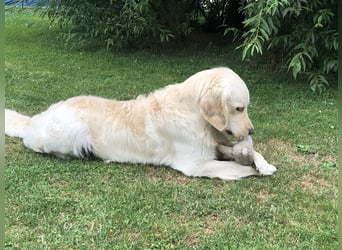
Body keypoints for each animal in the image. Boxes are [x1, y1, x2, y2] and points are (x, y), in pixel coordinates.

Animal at [5, 67, 276, 180]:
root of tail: (38, 117)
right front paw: (254, 170)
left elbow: (251, 154)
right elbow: (237, 168)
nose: (251, 130)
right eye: (239, 108)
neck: (194, 114)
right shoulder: (195, 164)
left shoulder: (218, 144)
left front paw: (263, 163)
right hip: (69, 133)